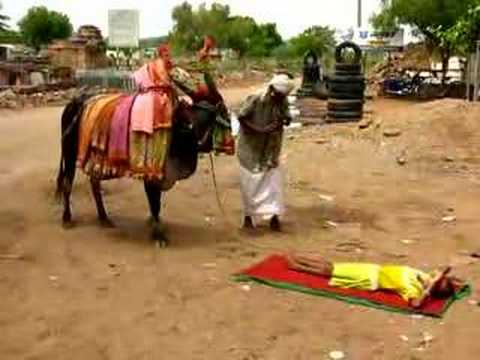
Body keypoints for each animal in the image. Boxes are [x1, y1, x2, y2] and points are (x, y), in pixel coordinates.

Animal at [56, 40, 234, 246]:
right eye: (223, 113)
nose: (231, 145)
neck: (180, 125)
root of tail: (75, 101)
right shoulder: (151, 174)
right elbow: (154, 204)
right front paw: (158, 235)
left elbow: (156, 205)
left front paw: (155, 225)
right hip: (69, 154)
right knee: (67, 183)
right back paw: (67, 218)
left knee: (94, 183)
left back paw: (104, 218)